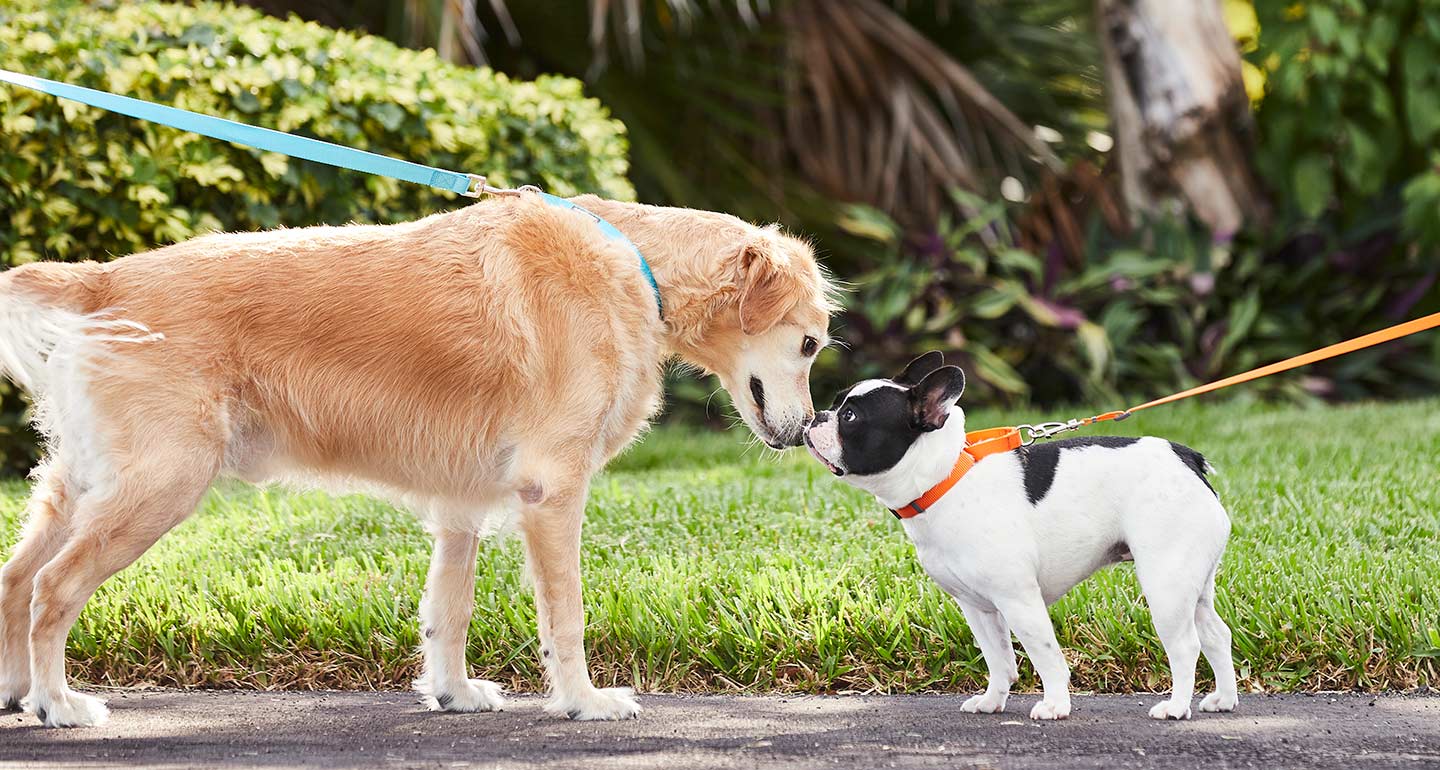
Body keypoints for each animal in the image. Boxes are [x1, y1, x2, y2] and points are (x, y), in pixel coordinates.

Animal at [0, 194, 835, 728]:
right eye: (809, 343)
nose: (806, 431)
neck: (635, 266)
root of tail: (105, 277)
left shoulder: (461, 503)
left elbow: (449, 610)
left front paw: (453, 692)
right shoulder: (553, 488)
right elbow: (565, 615)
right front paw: (584, 702)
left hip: (87, 484)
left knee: (15, 578)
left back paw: (18, 693)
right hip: (162, 484)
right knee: (51, 587)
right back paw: (58, 706)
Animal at [806, 352, 1244, 719]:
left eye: (850, 417)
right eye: (837, 403)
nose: (816, 417)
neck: (943, 480)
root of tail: (1185, 459)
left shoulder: (1019, 600)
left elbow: (1045, 655)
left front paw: (1055, 706)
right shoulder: (978, 607)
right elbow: (999, 659)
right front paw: (992, 700)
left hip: (1165, 581)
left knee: (1186, 644)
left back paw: (1175, 707)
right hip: (1192, 580)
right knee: (1216, 634)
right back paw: (1223, 699)